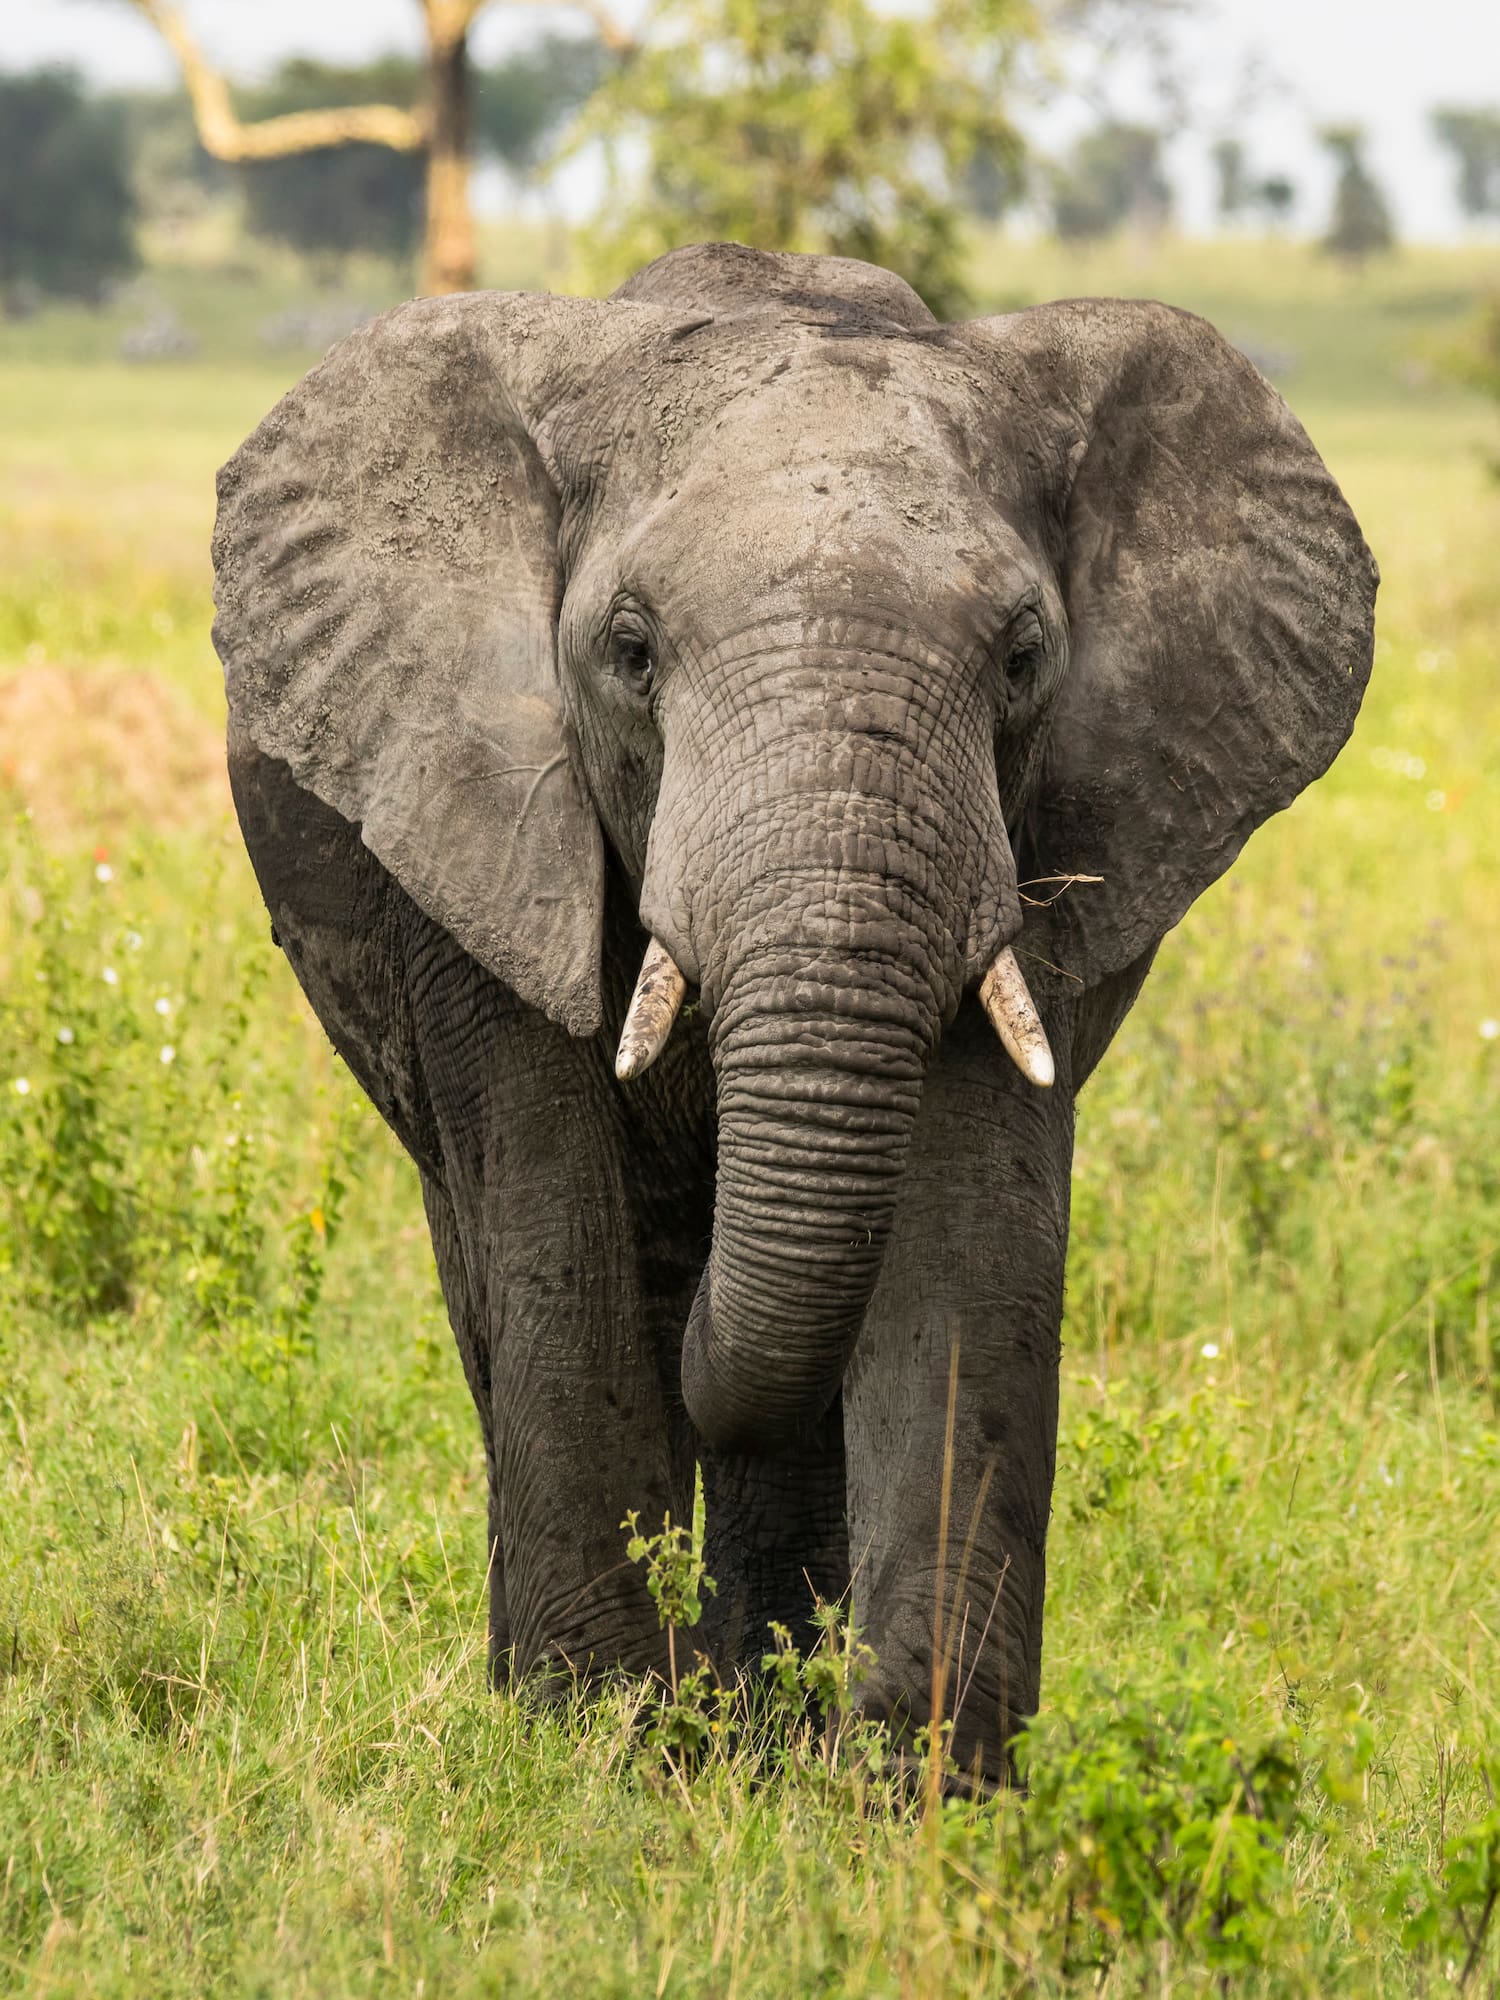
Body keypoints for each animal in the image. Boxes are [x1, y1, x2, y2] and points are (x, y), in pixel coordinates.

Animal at [212, 241, 1377, 1787]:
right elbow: (558, 1230)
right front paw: (596, 1757)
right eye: (631, 651)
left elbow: (966, 1248)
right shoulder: (467, 823)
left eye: (1023, 659)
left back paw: (756, 1730)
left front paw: (917, 1796)